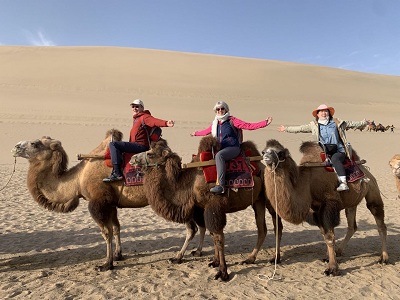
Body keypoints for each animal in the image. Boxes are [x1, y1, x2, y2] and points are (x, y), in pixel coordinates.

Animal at [11, 130, 206, 270]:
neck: (78, 180)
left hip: (179, 202)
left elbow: (106, 232)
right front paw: (118, 255)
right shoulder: (111, 204)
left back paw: (178, 257)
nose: (15, 147)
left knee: (192, 228)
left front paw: (106, 264)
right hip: (195, 202)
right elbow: (116, 228)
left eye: (35, 144)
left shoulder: (98, 202)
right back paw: (197, 252)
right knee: (202, 225)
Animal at [131, 136, 282, 282]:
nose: (132, 159)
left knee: (277, 225)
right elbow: (212, 234)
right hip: (257, 200)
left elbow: (218, 237)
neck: (189, 184)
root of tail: (262, 166)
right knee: (262, 229)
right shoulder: (204, 208)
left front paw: (222, 273)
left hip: (270, 197)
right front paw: (214, 262)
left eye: (150, 154)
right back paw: (250, 259)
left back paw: (275, 258)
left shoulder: (214, 206)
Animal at [260, 139, 390, 276]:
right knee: (352, 226)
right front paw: (329, 258)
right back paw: (339, 251)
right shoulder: (315, 212)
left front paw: (332, 269)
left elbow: (329, 237)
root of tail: (364, 168)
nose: (266, 156)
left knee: (379, 220)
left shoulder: (328, 206)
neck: (306, 183)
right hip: (352, 202)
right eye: (264, 151)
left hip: (372, 188)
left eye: (280, 153)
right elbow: (325, 234)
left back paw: (384, 258)